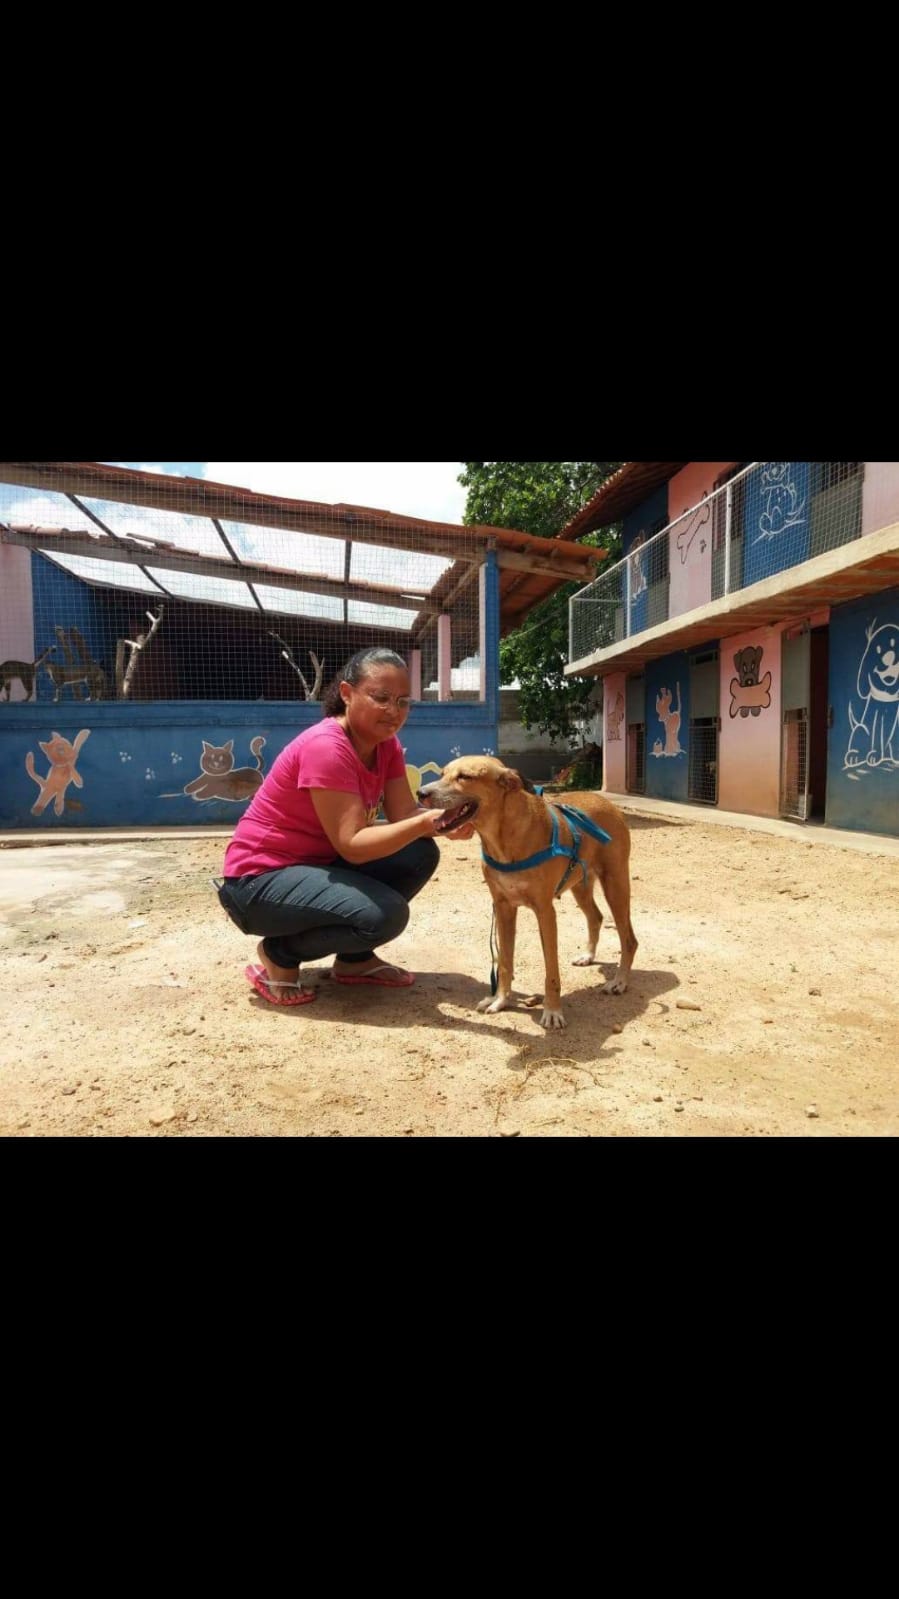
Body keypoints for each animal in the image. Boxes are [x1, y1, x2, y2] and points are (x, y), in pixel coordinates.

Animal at [419, 757, 636, 1029]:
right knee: (595, 917)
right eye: (443, 773)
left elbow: (551, 971)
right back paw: (588, 956)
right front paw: (500, 1000)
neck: (503, 838)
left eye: (464, 777)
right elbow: (504, 962)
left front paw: (552, 1011)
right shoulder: (503, 907)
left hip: (615, 886)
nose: (421, 793)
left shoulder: (545, 912)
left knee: (629, 939)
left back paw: (620, 982)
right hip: (580, 885)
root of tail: (606, 802)